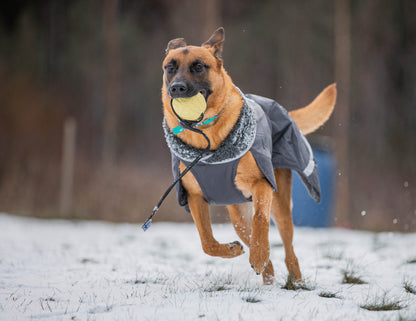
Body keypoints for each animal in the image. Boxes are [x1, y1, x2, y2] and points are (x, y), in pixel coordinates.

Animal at [161, 26, 336, 282]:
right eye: (170, 67)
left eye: (199, 66)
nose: (177, 88)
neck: (208, 140)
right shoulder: (194, 196)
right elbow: (207, 242)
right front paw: (233, 250)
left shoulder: (262, 184)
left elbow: (260, 220)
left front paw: (259, 253)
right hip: (237, 215)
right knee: (249, 235)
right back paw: (267, 273)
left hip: (280, 206)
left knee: (288, 249)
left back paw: (292, 277)